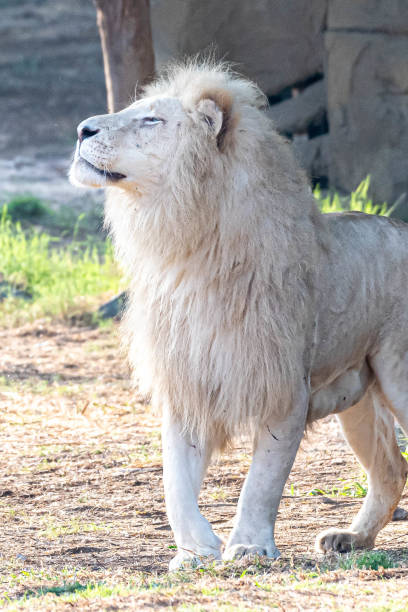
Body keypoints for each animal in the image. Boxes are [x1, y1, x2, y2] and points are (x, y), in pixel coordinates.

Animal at [70, 61, 408, 568]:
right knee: (391, 467)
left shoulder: (282, 387)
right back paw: (349, 539)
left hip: (399, 375)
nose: (81, 129)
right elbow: (174, 480)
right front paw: (195, 551)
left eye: (152, 120)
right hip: (360, 396)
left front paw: (248, 547)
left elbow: (263, 479)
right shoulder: (186, 380)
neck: (187, 252)